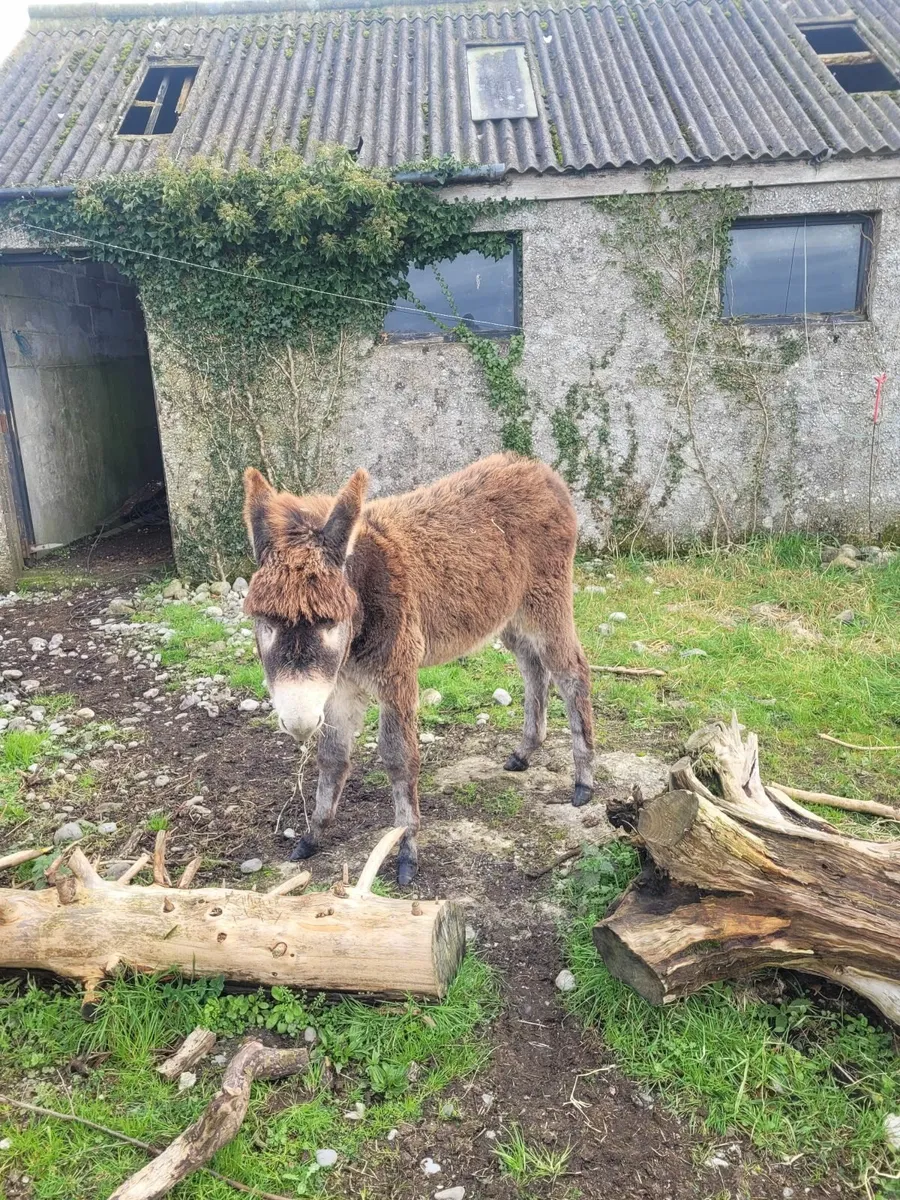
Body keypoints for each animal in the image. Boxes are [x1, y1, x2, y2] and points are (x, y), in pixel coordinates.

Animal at [242, 452, 594, 884]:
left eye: (329, 622)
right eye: (265, 621)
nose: (298, 721)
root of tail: (536, 469)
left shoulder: (396, 676)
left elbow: (399, 757)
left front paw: (406, 847)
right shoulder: (339, 686)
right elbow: (332, 755)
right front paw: (313, 835)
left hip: (546, 601)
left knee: (571, 672)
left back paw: (583, 781)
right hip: (509, 613)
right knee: (533, 667)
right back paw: (526, 750)